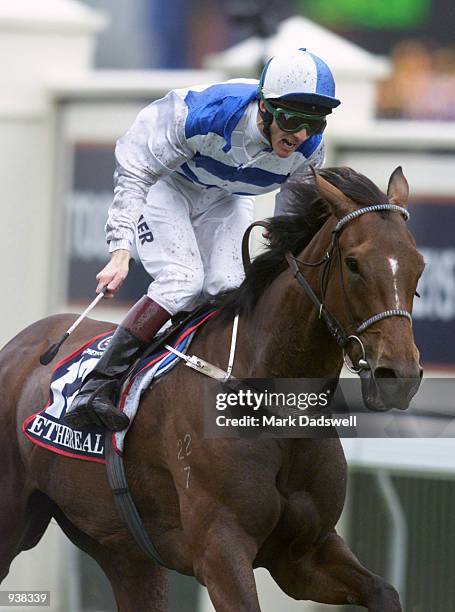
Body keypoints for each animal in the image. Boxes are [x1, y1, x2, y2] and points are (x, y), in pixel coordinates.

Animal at [1, 165, 426, 608]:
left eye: (419, 266)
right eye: (354, 263)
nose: (399, 374)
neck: (271, 401)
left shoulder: (305, 554)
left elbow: (383, 590)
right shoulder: (220, 549)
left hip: (122, 550)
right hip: (13, 522)